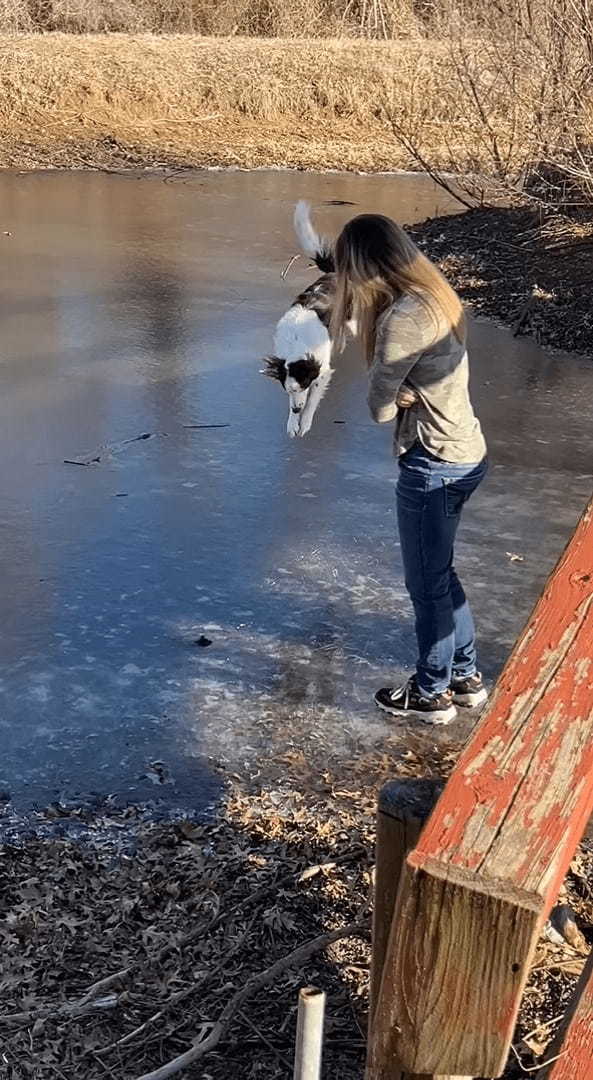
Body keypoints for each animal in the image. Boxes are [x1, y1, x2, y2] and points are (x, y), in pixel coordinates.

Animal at [262, 200, 352, 436]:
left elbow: (312, 401)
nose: (295, 409)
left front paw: (305, 423)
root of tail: (333, 273)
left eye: (303, 385)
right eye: (287, 391)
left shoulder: (322, 373)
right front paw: (292, 423)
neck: (296, 343)